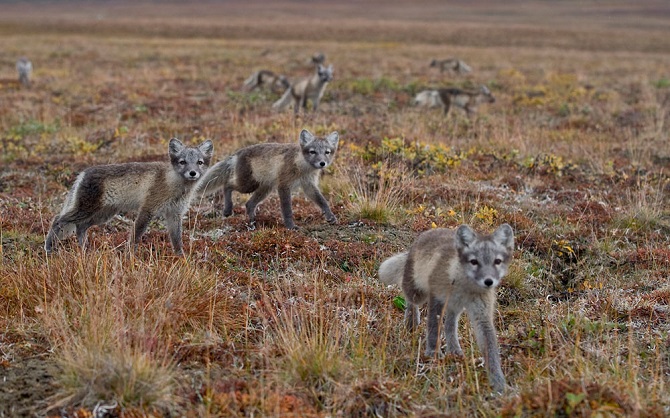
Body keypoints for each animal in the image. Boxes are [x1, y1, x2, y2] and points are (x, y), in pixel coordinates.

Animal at [45, 138, 213, 255]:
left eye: (199, 162)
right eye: (182, 162)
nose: (193, 173)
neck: (174, 185)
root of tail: (83, 173)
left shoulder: (175, 214)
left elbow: (177, 241)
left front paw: (181, 259)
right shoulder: (147, 209)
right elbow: (136, 236)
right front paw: (130, 258)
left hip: (102, 215)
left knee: (80, 227)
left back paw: (85, 252)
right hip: (87, 210)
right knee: (58, 220)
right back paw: (49, 249)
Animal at [197, 130, 338, 230]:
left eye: (327, 152)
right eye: (313, 152)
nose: (322, 163)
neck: (302, 167)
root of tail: (238, 153)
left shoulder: (309, 185)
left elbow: (322, 201)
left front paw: (330, 216)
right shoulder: (283, 185)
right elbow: (287, 209)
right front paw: (290, 226)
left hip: (265, 189)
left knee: (249, 204)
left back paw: (252, 224)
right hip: (248, 185)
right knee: (227, 185)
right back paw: (227, 210)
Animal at [380, 224, 516, 394]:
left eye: (497, 261)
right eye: (474, 261)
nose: (488, 281)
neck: (465, 287)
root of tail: (429, 231)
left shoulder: (482, 315)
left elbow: (490, 348)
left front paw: (499, 383)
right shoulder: (436, 298)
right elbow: (433, 328)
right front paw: (432, 355)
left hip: (454, 308)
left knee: (449, 326)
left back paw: (454, 350)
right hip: (419, 293)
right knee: (410, 299)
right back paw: (412, 322)